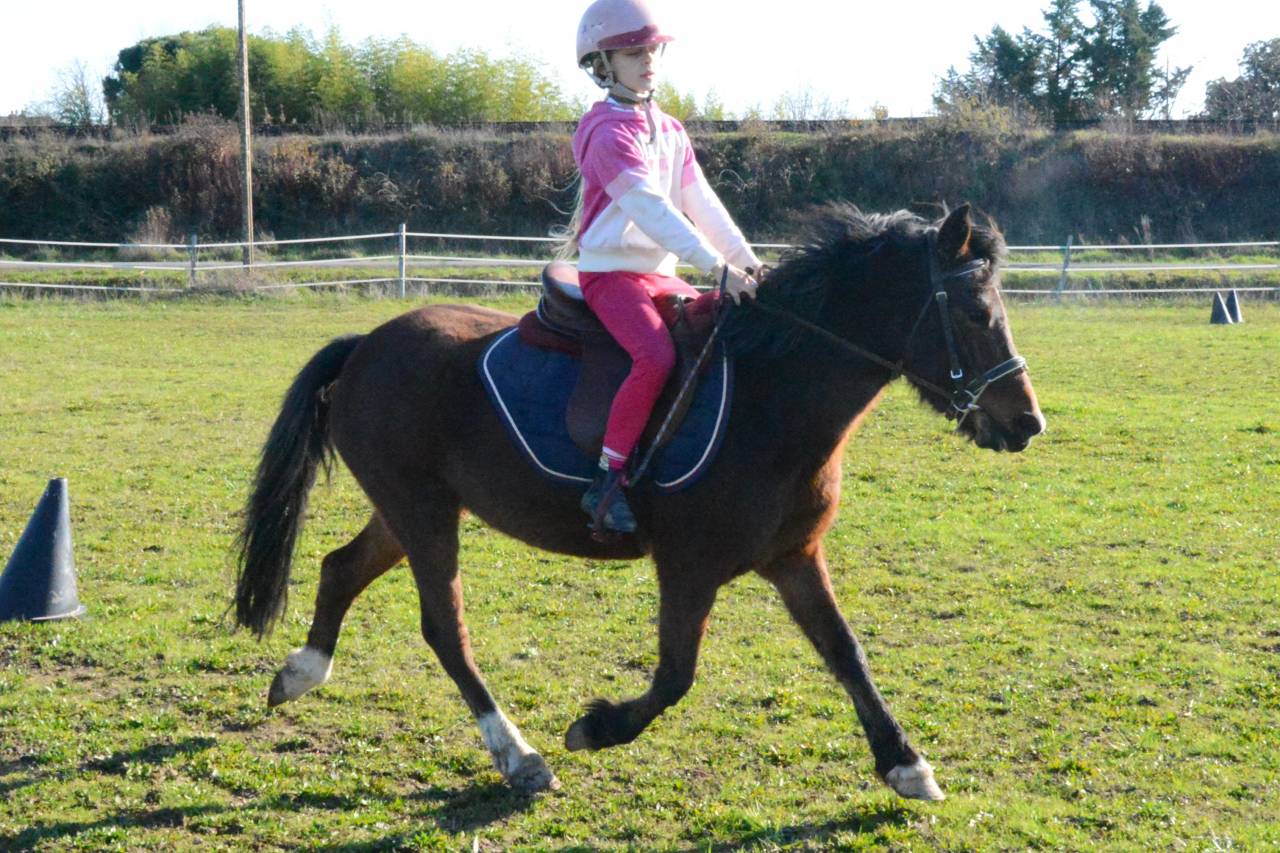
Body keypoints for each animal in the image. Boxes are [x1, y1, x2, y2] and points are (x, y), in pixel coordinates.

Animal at [233, 203, 1045, 801]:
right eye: (976, 313)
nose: (1027, 422)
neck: (772, 394)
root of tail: (368, 342)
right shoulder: (689, 565)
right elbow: (676, 675)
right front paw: (595, 729)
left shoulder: (793, 556)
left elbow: (846, 651)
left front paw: (905, 761)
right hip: (424, 515)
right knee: (445, 630)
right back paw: (518, 754)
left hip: (412, 510)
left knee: (341, 567)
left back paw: (302, 672)